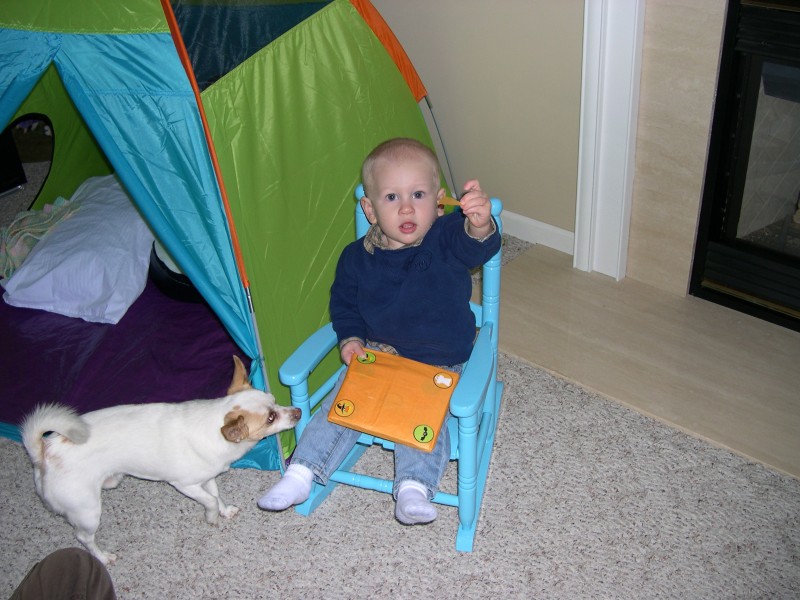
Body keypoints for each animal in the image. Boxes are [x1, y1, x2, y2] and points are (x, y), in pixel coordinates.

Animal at [20, 356, 300, 568]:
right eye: (271, 418)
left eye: (274, 400)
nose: (297, 412)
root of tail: (44, 453)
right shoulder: (184, 485)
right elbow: (209, 500)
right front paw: (211, 518)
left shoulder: (207, 478)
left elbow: (216, 495)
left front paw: (224, 511)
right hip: (87, 511)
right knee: (83, 537)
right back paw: (103, 557)